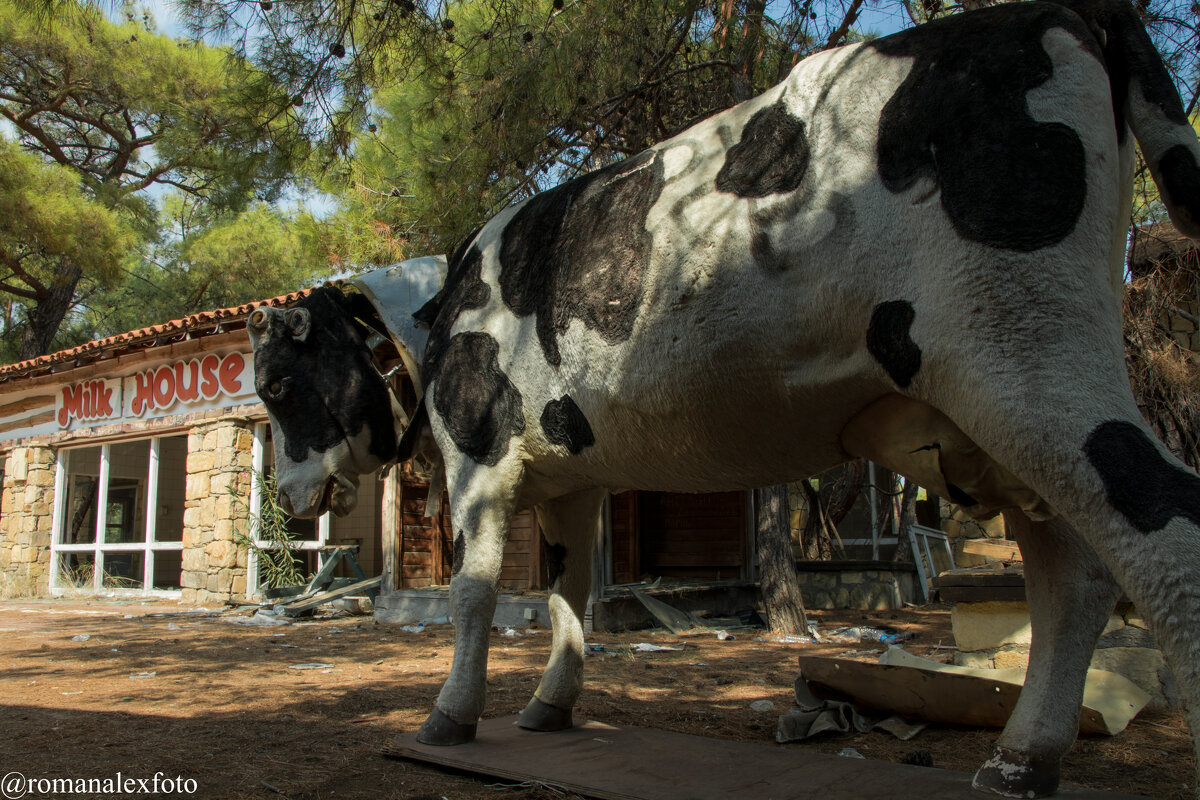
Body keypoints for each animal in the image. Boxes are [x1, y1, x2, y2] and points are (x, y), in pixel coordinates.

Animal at [248, 3, 1200, 796]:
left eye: (277, 384)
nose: (289, 499)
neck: (442, 307)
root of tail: (1057, 11)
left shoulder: (480, 460)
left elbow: (476, 593)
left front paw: (449, 715)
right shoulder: (571, 478)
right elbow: (567, 594)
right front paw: (551, 705)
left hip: (1021, 355)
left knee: (1160, 521)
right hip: (997, 414)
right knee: (1073, 574)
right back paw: (1019, 759)